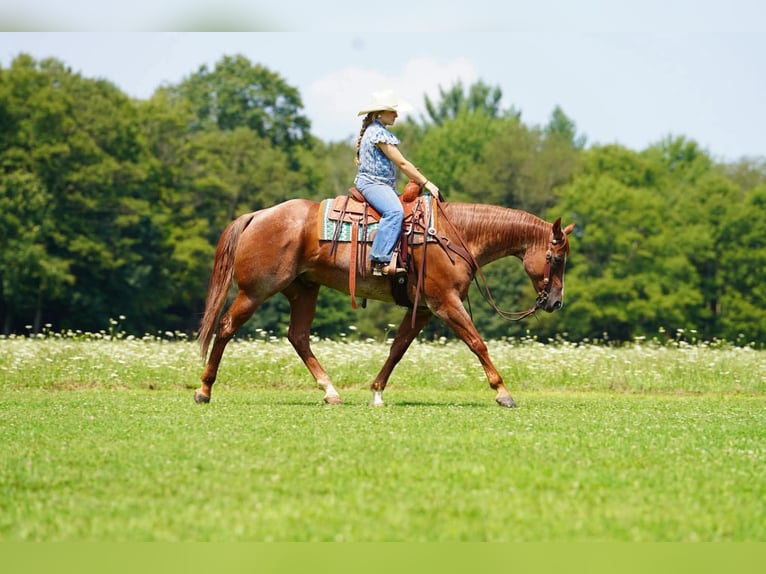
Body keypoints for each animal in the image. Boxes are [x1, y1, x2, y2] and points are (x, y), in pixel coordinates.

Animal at [195, 196, 574, 408]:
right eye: (556, 258)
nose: (555, 302)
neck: (454, 235)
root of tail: (257, 215)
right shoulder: (445, 303)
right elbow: (477, 343)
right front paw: (503, 392)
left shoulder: (423, 309)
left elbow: (398, 347)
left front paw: (377, 391)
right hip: (255, 291)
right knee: (226, 327)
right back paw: (204, 389)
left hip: (303, 290)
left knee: (298, 337)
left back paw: (330, 391)